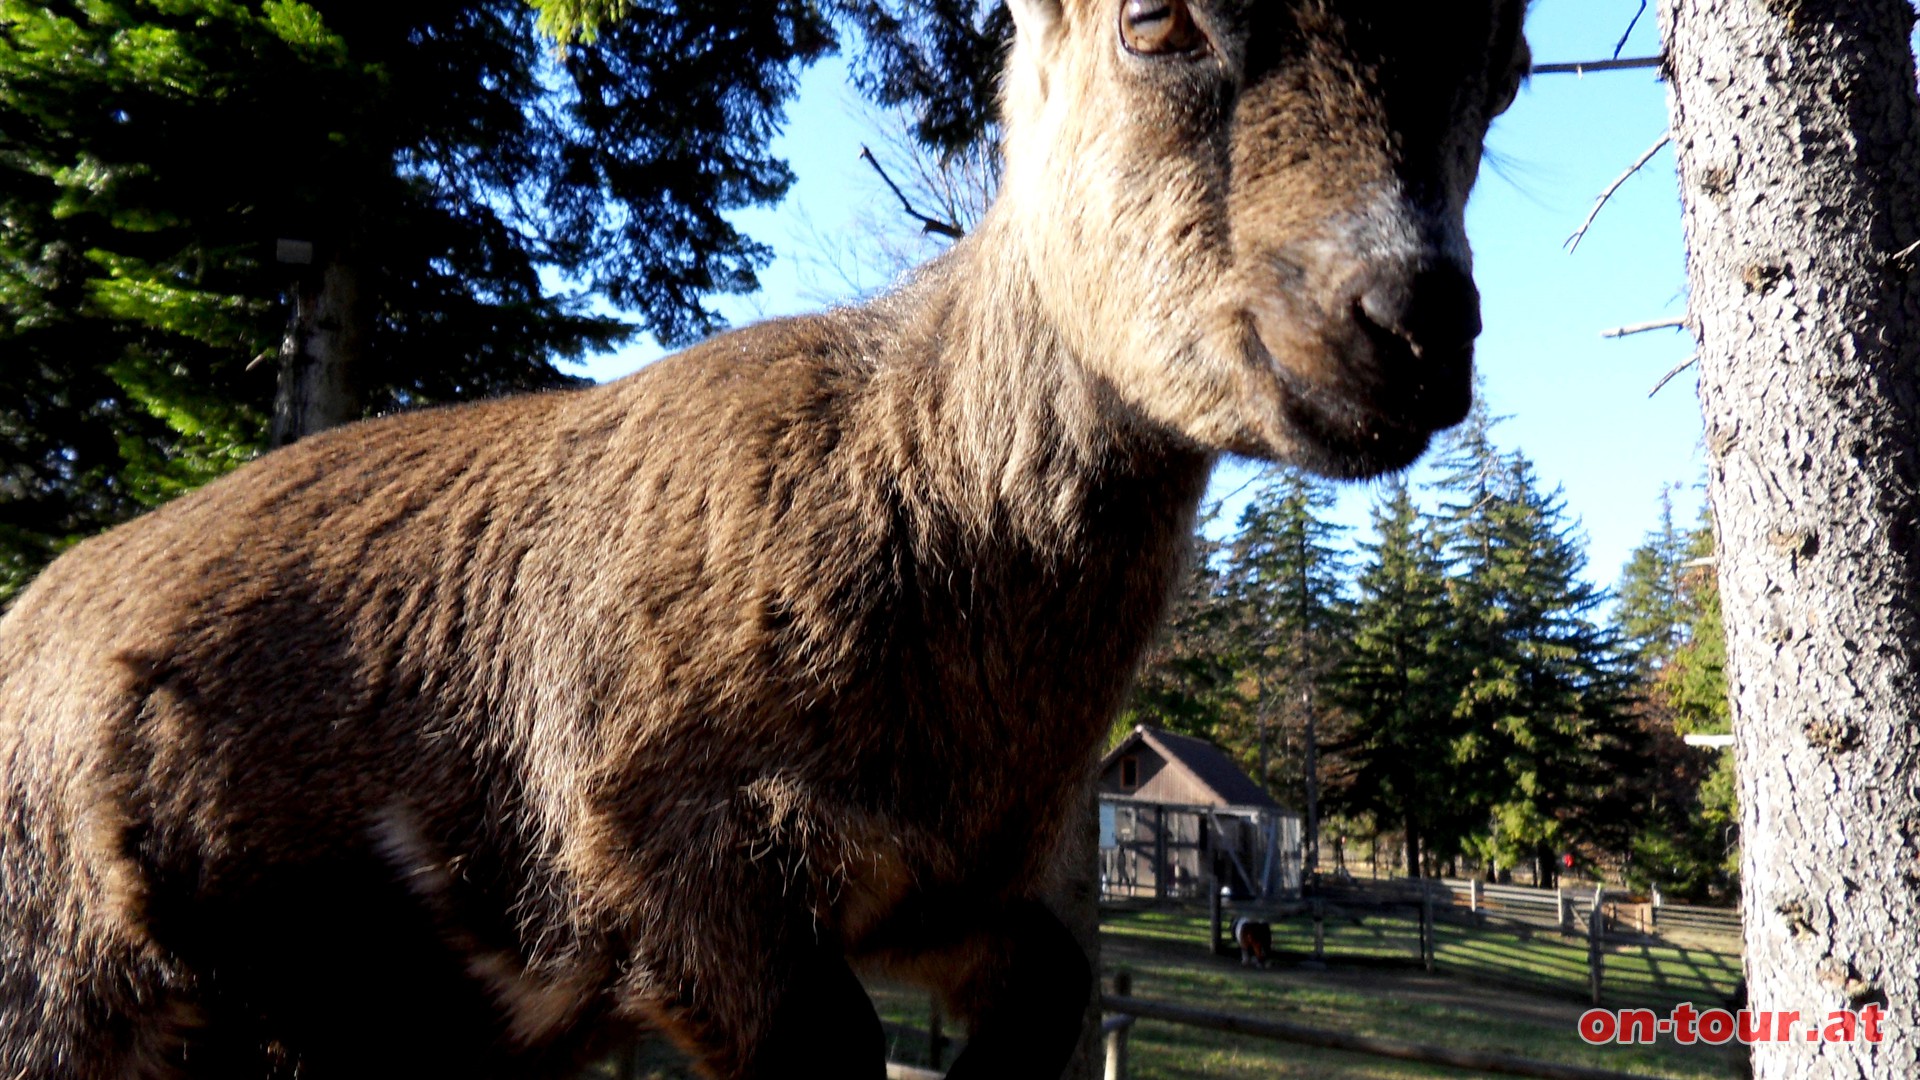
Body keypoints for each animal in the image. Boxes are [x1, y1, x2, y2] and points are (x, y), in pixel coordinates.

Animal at [0, 4, 1528, 1068]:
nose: (1413, 328)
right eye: (1156, 16)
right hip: (49, 973)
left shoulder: (969, 889)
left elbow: (1053, 990)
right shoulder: (652, 845)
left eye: (1507, 61)